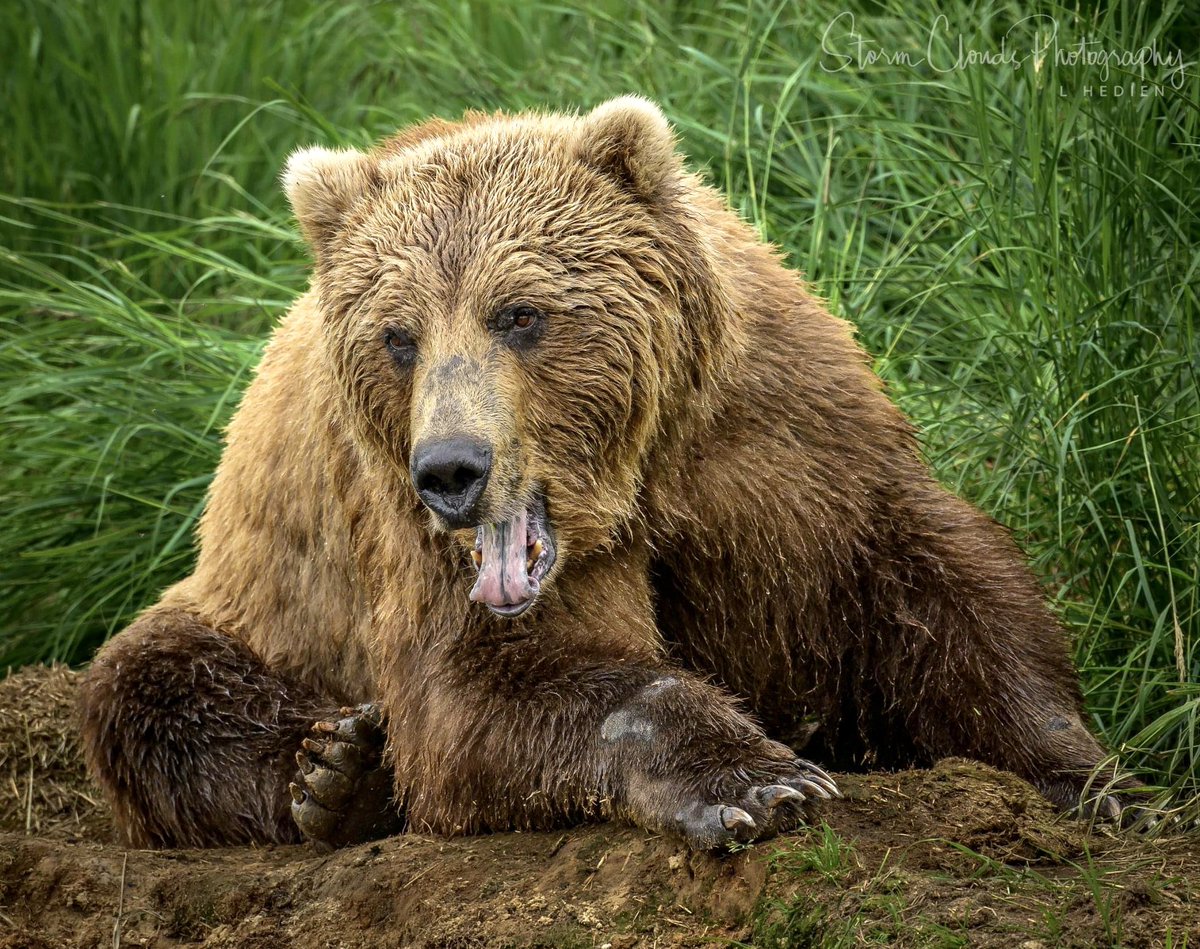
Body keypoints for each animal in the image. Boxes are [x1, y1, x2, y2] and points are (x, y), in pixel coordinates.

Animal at [77, 96, 1130, 851]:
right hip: (259, 599)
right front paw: (757, 781)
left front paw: (1082, 774)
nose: (451, 471)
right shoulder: (409, 539)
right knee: (143, 687)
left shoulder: (775, 437)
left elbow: (933, 578)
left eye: (520, 313)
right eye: (398, 336)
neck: (628, 473)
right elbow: (484, 688)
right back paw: (334, 773)